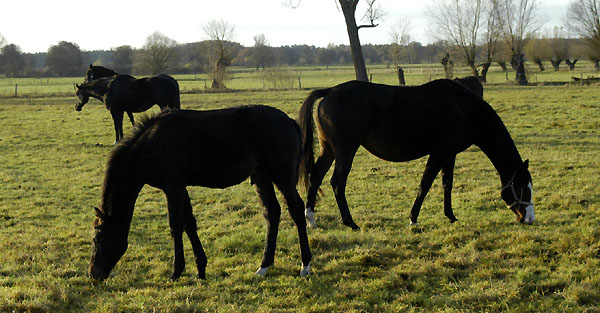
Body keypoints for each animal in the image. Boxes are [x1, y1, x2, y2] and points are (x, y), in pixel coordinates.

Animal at [90, 106, 314, 280]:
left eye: (97, 239)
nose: (94, 274)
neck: (152, 144)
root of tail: (289, 121)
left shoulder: (172, 188)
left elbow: (175, 226)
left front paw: (176, 272)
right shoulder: (181, 188)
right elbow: (189, 224)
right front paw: (200, 269)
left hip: (282, 177)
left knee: (296, 210)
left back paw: (305, 265)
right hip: (261, 177)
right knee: (272, 213)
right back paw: (264, 266)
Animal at [298, 78, 536, 229]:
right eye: (522, 188)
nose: (529, 218)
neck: (462, 108)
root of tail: (329, 91)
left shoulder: (450, 155)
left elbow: (447, 183)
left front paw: (450, 216)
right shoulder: (439, 153)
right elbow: (425, 184)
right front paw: (413, 219)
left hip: (329, 150)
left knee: (315, 177)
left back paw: (311, 219)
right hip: (345, 152)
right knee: (337, 183)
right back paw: (350, 223)